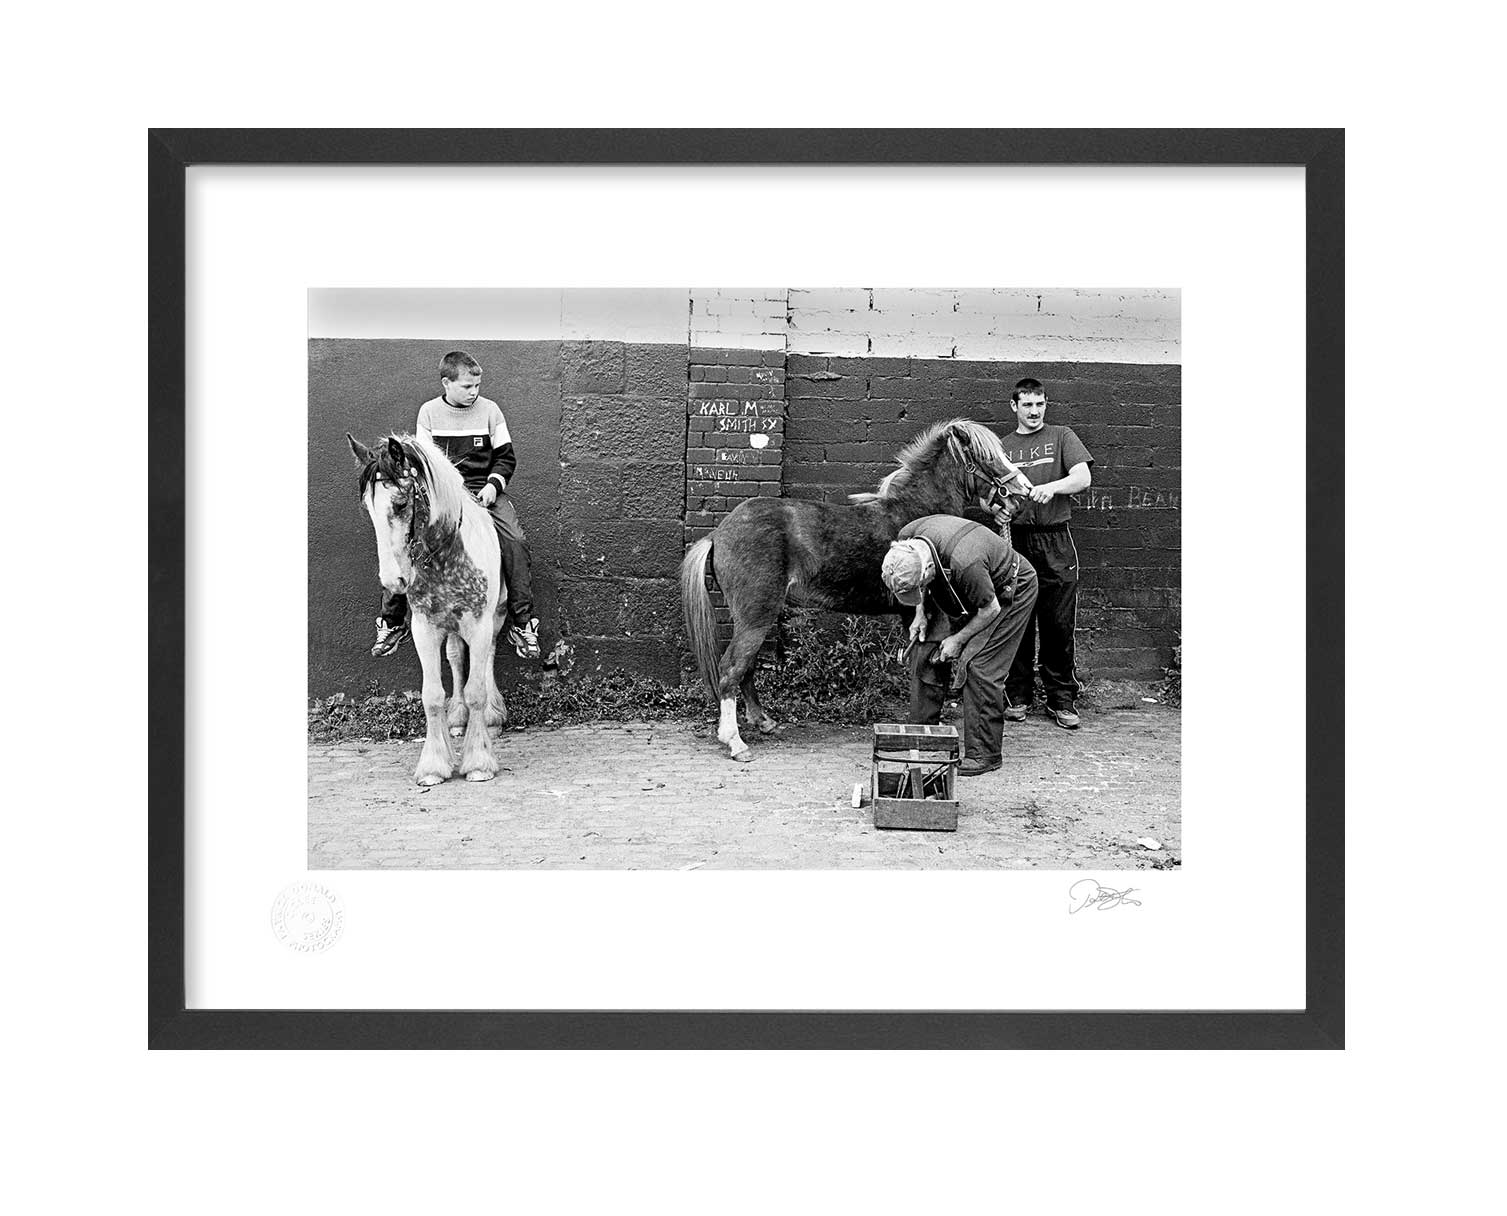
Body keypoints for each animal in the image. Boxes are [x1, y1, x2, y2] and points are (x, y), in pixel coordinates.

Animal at [347, 433, 510, 785]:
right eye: (368, 507)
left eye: (400, 503)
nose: (394, 580)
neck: (446, 555)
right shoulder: (426, 628)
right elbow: (432, 696)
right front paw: (434, 765)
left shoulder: (479, 624)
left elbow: (477, 689)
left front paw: (479, 762)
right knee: (456, 658)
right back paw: (458, 718)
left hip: (496, 616)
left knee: (489, 657)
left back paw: (492, 717)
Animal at [680, 417, 1033, 762]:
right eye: (987, 457)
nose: (1024, 490)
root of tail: (718, 533)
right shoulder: (928, 615)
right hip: (756, 616)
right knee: (732, 668)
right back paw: (735, 742)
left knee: (747, 667)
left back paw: (764, 722)